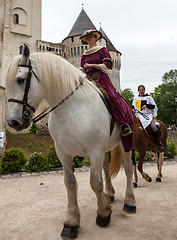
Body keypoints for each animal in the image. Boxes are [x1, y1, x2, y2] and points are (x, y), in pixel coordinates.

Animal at [5, 44, 136, 238]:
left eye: (20, 80)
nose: (13, 122)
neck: (71, 108)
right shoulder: (63, 152)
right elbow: (70, 183)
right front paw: (72, 222)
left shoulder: (94, 150)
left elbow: (94, 183)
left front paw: (103, 214)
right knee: (106, 168)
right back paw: (110, 194)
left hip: (124, 143)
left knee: (127, 169)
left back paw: (130, 202)